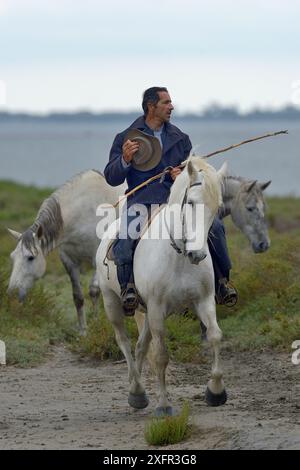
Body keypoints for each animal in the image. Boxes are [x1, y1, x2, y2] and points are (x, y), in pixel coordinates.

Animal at [96, 158, 227, 414]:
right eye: (191, 202)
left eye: (217, 207)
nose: (198, 255)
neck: (177, 256)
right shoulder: (157, 308)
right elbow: (161, 356)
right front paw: (164, 405)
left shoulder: (204, 301)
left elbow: (215, 336)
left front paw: (215, 391)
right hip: (112, 302)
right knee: (124, 341)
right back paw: (137, 391)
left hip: (146, 311)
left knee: (140, 346)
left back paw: (135, 390)